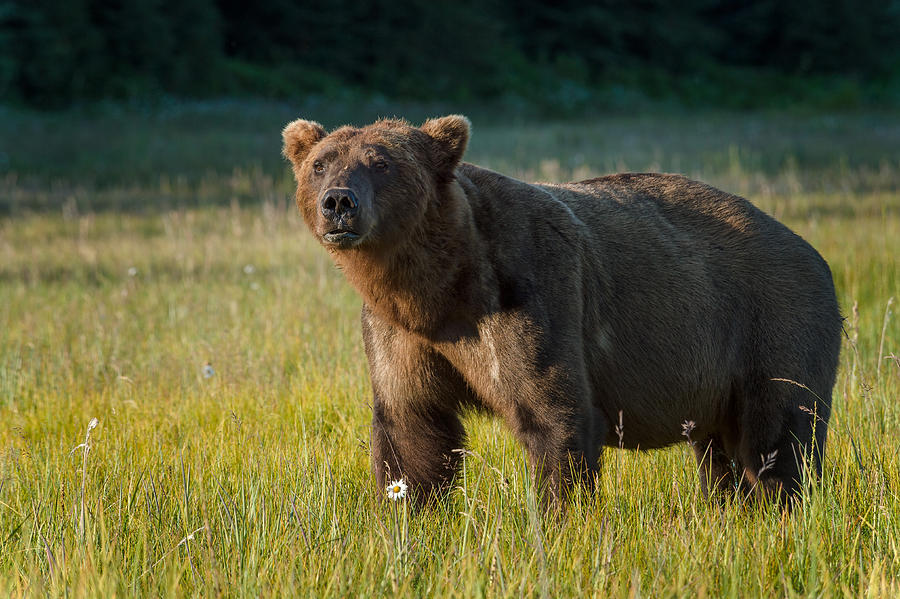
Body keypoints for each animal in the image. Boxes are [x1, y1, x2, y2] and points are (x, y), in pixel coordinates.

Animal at [284, 116, 844, 506]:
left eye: (382, 162)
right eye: (321, 163)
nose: (338, 202)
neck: (438, 288)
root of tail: (813, 252)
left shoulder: (532, 295)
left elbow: (554, 416)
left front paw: (557, 515)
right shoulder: (399, 333)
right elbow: (410, 426)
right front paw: (408, 514)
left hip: (770, 322)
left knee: (776, 437)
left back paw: (780, 504)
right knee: (719, 454)